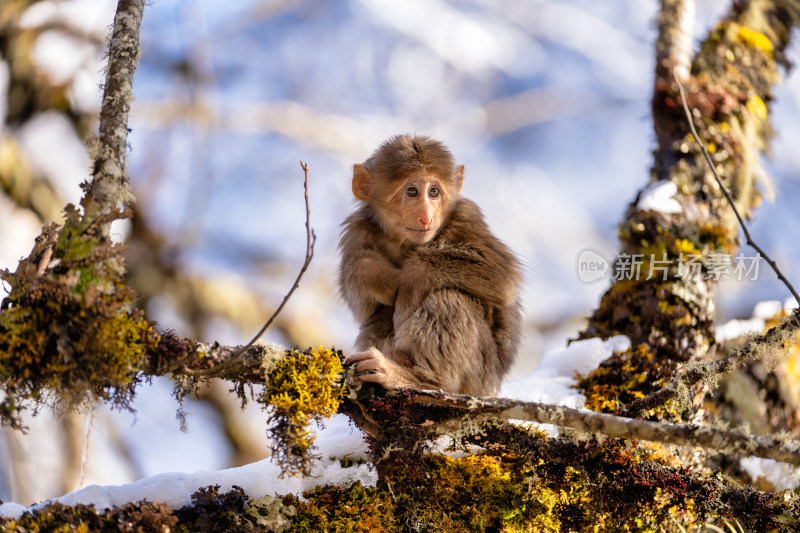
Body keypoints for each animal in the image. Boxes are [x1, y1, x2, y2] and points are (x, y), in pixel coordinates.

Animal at [340, 135, 520, 396]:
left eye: (434, 192)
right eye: (412, 191)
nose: (427, 216)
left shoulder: (466, 216)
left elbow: (503, 275)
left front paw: (413, 279)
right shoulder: (357, 231)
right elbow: (363, 301)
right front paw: (374, 273)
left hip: (478, 378)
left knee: (449, 297)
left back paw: (424, 379)